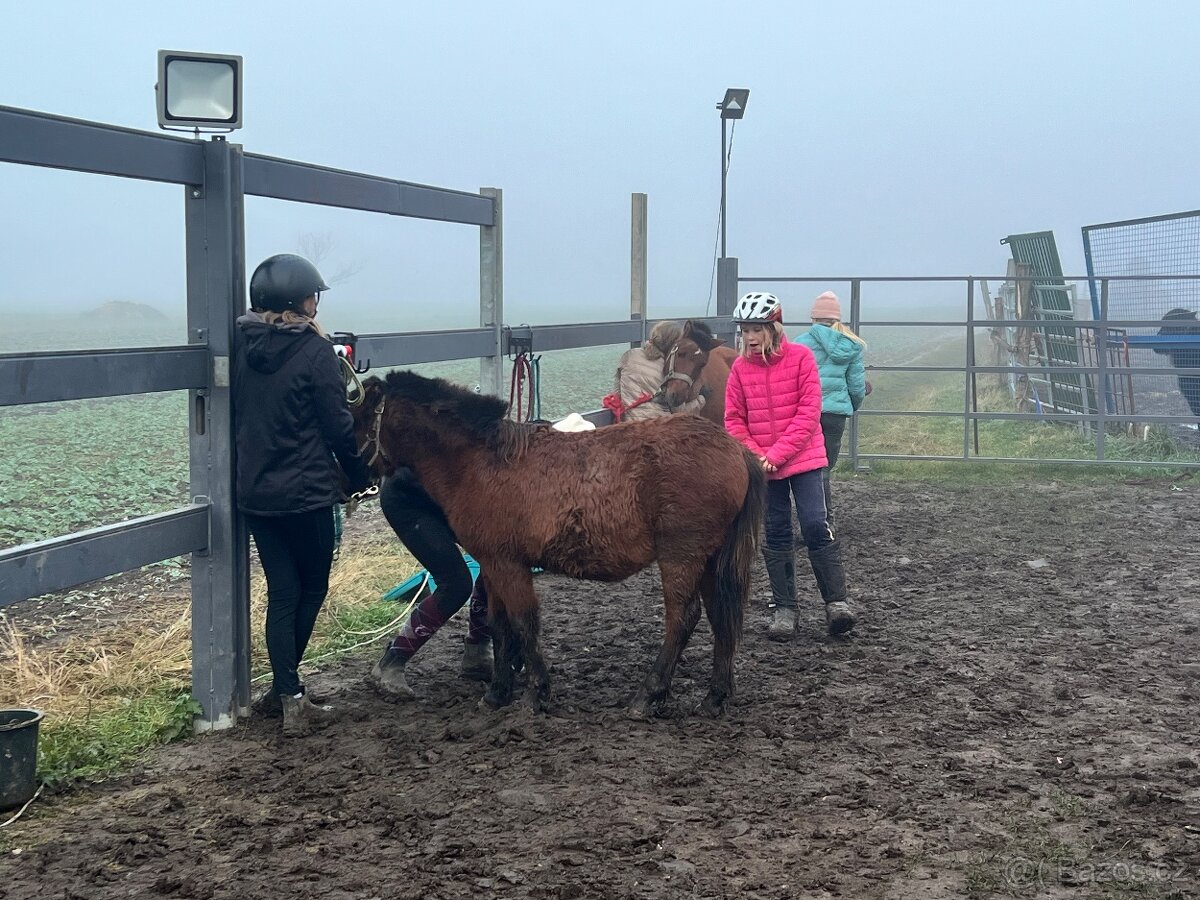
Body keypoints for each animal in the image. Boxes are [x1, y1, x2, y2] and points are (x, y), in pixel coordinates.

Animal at [352, 370, 766, 717]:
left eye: (359, 416)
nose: (352, 480)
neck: (481, 461)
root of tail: (736, 451)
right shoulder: (492, 563)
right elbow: (498, 625)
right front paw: (498, 693)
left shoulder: (508, 564)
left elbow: (523, 623)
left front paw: (536, 693)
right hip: (710, 560)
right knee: (720, 616)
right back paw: (714, 697)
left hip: (682, 556)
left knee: (683, 618)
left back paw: (648, 695)